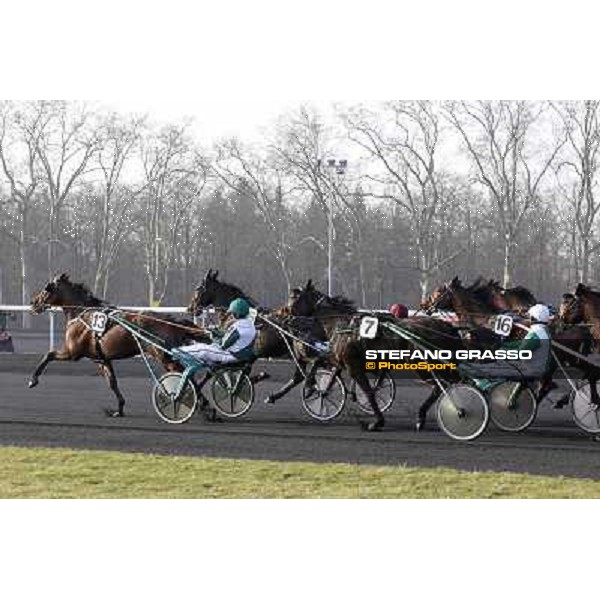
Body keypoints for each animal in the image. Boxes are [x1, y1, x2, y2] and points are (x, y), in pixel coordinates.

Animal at [29, 274, 209, 418]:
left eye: (46, 289)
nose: (33, 303)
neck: (82, 314)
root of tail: (172, 321)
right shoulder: (101, 359)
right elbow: (112, 382)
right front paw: (119, 409)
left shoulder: (73, 353)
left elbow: (49, 355)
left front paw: (33, 380)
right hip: (169, 358)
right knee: (189, 375)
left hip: (165, 358)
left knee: (187, 376)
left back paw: (202, 405)